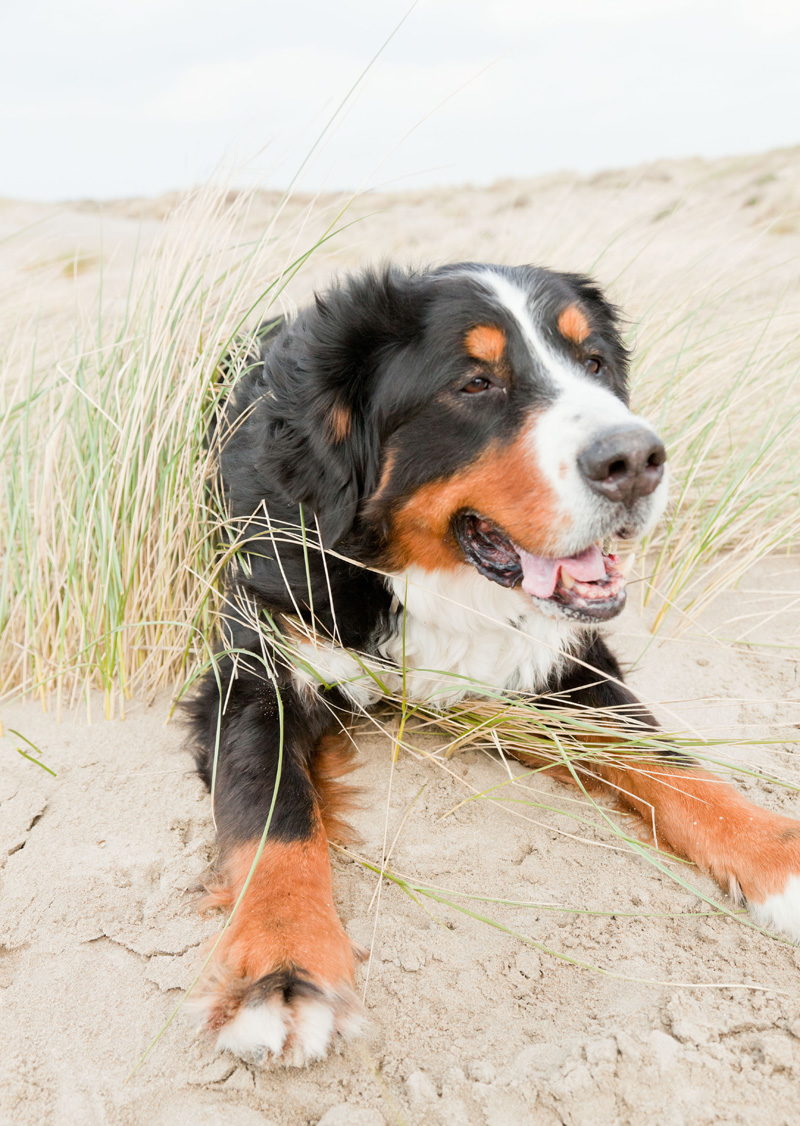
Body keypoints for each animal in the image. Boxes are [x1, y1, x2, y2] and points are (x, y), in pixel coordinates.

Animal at [185, 261, 797, 1062]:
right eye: (475, 384)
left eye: (594, 364)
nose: (636, 460)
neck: (423, 579)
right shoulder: (258, 672)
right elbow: (272, 816)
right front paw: (283, 970)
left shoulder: (565, 666)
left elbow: (672, 763)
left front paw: (779, 851)